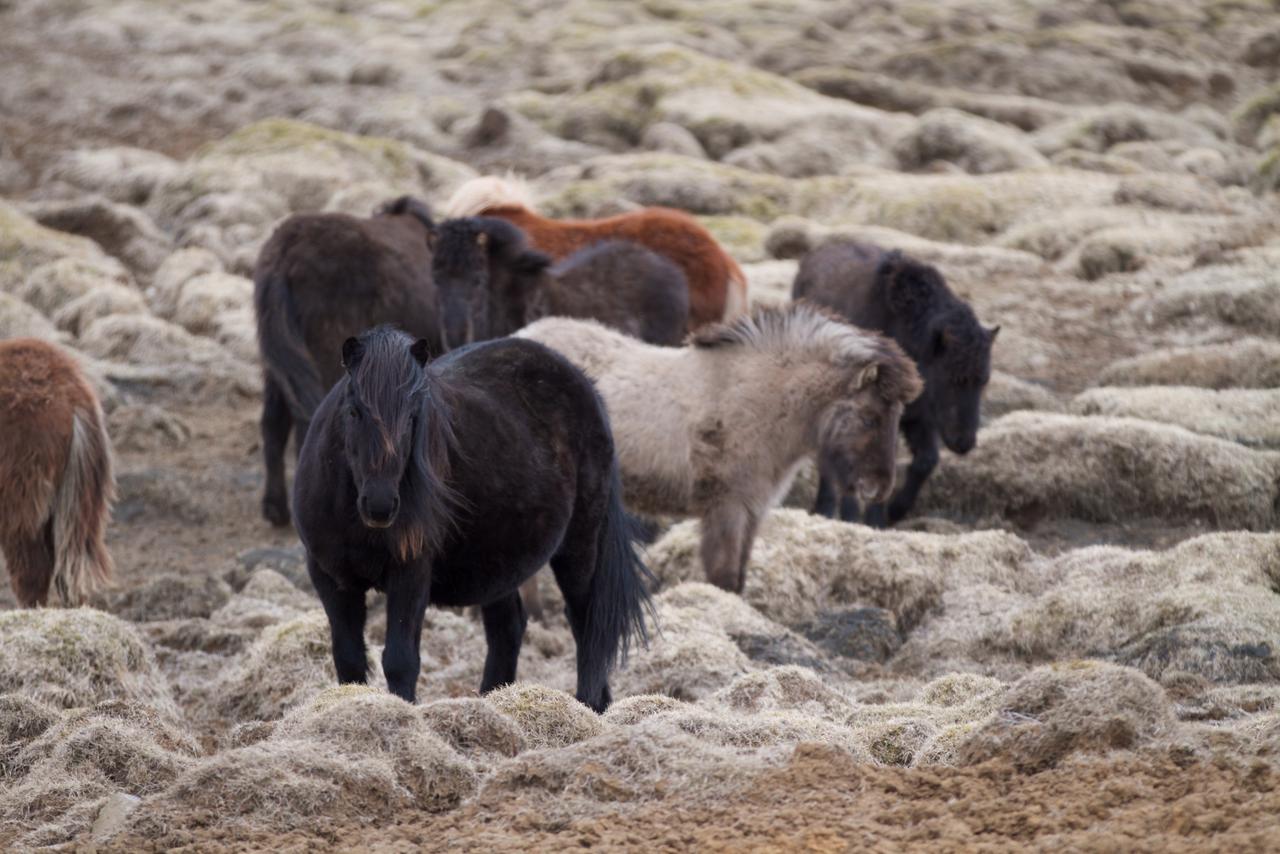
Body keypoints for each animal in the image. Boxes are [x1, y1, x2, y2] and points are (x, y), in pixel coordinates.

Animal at [294, 323, 655, 711]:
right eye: (354, 411)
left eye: (413, 416)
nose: (380, 505)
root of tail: (584, 384)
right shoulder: (330, 577)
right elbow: (348, 659)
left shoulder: (411, 573)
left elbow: (400, 660)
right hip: (502, 558)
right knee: (508, 628)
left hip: (580, 544)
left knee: (586, 621)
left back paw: (588, 705)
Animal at [788, 236, 998, 524]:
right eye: (952, 378)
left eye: (984, 380)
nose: (964, 443)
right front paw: (864, 518)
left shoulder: (919, 418)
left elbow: (925, 461)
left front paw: (892, 513)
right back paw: (830, 510)